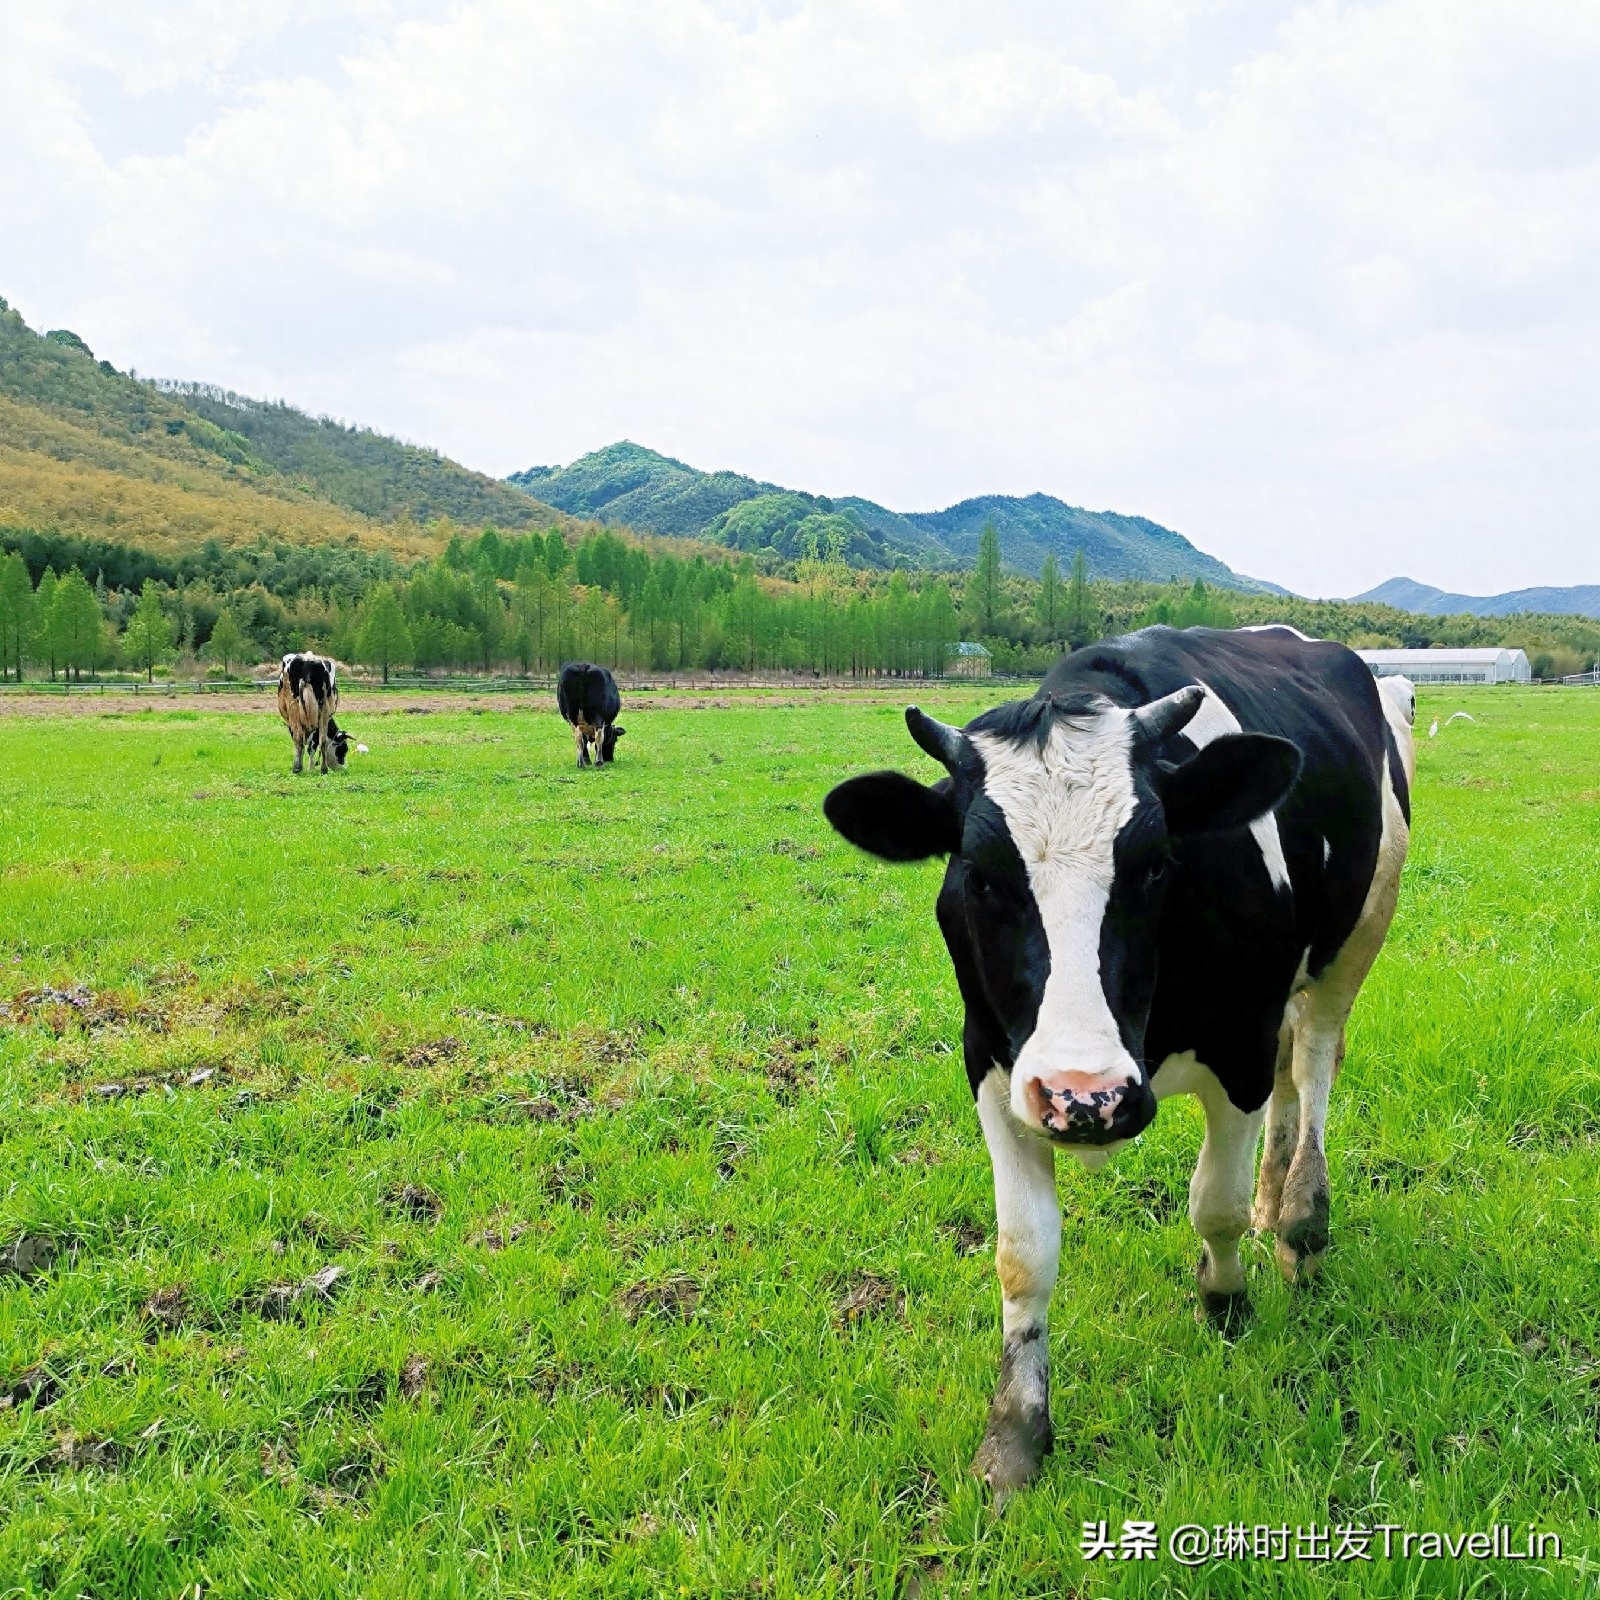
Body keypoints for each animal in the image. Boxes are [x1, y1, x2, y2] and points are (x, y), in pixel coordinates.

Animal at [825, 627, 1414, 1497]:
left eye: (1156, 862)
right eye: (979, 876)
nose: (1086, 1096)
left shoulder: (1238, 1047)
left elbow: (1213, 1203)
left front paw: (1225, 1302)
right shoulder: (996, 1068)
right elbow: (1023, 1253)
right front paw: (1015, 1436)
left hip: (1358, 934)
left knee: (1312, 1064)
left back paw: (1301, 1220)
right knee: (1292, 1074)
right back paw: (1276, 1199)